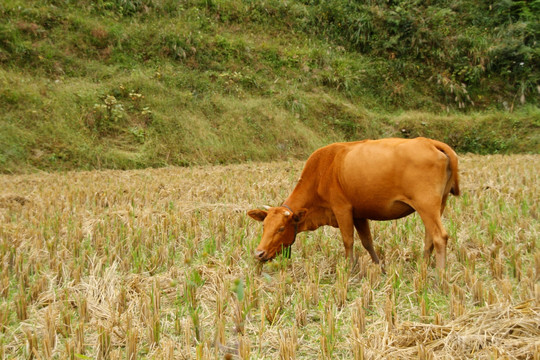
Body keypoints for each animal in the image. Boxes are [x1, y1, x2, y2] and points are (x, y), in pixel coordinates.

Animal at [249, 136, 460, 268]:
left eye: (281, 228)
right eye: (264, 226)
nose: (259, 254)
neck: (322, 170)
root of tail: (430, 142)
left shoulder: (342, 209)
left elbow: (348, 241)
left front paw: (349, 269)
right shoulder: (359, 214)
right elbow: (367, 242)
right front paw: (380, 268)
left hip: (426, 204)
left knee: (440, 237)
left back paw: (439, 277)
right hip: (438, 204)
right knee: (429, 237)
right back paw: (423, 268)